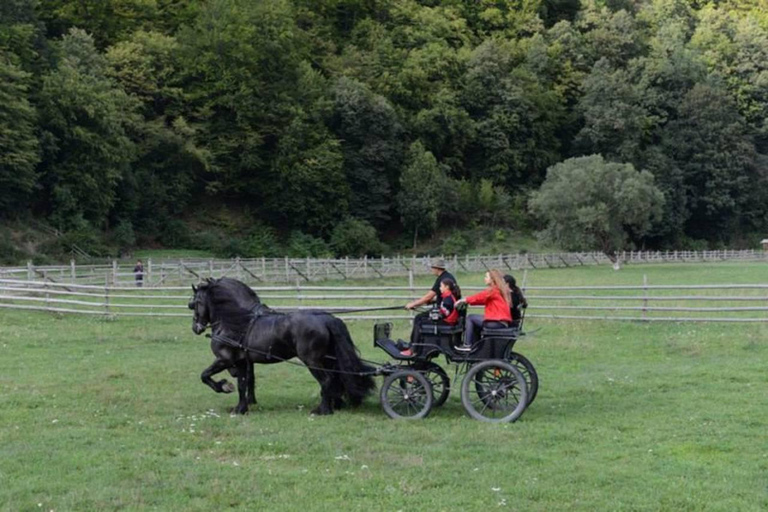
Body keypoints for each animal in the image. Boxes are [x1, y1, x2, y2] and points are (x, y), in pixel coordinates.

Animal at [188, 277, 376, 415]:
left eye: (195, 303)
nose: (195, 328)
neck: (237, 321)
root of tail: (326, 318)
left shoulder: (224, 359)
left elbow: (205, 375)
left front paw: (224, 387)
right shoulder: (241, 362)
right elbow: (243, 384)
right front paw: (241, 408)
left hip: (312, 360)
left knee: (327, 380)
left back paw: (322, 410)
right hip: (329, 359)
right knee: (336, 378)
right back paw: (335, 405)